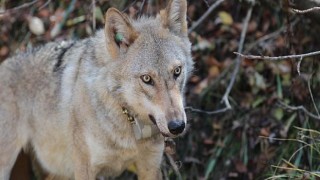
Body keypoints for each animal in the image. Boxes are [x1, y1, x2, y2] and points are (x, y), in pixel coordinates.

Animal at [0, 0, 192, 179]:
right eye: (147, 79)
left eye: (177, 71)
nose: (177, 126)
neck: (126, 117)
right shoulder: (84, 169)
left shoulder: (150, 167)